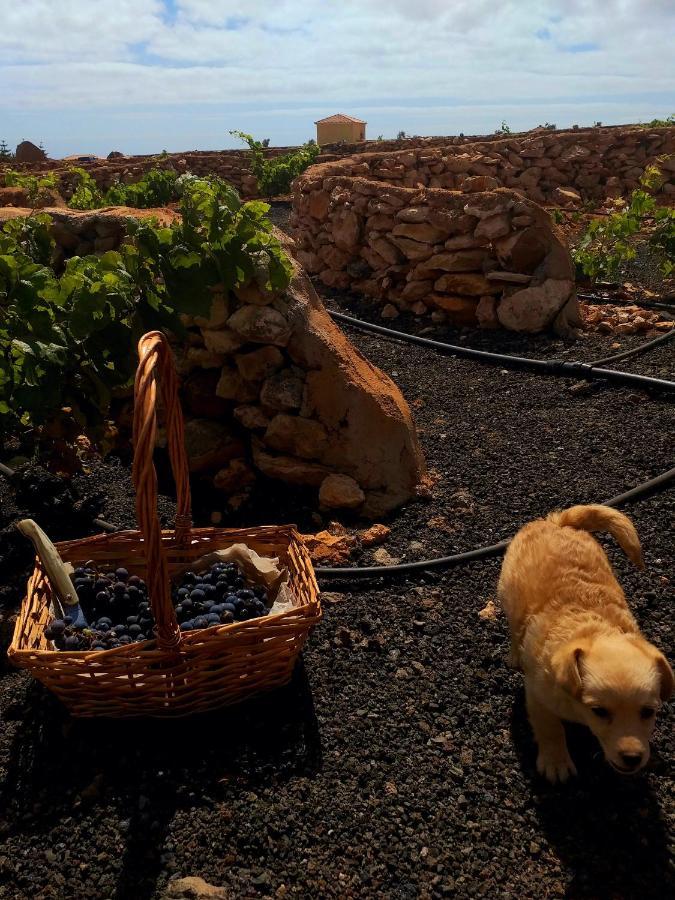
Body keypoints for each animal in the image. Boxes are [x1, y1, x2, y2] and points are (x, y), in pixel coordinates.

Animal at [500, 506, 672, 780]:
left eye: (648, 712)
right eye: (599, 711)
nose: (633, 758)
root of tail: (557, 522)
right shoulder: (538, 697)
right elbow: (550, 727)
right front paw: (556, 760)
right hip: (507, 595)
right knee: (514, 631)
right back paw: (516, 653)